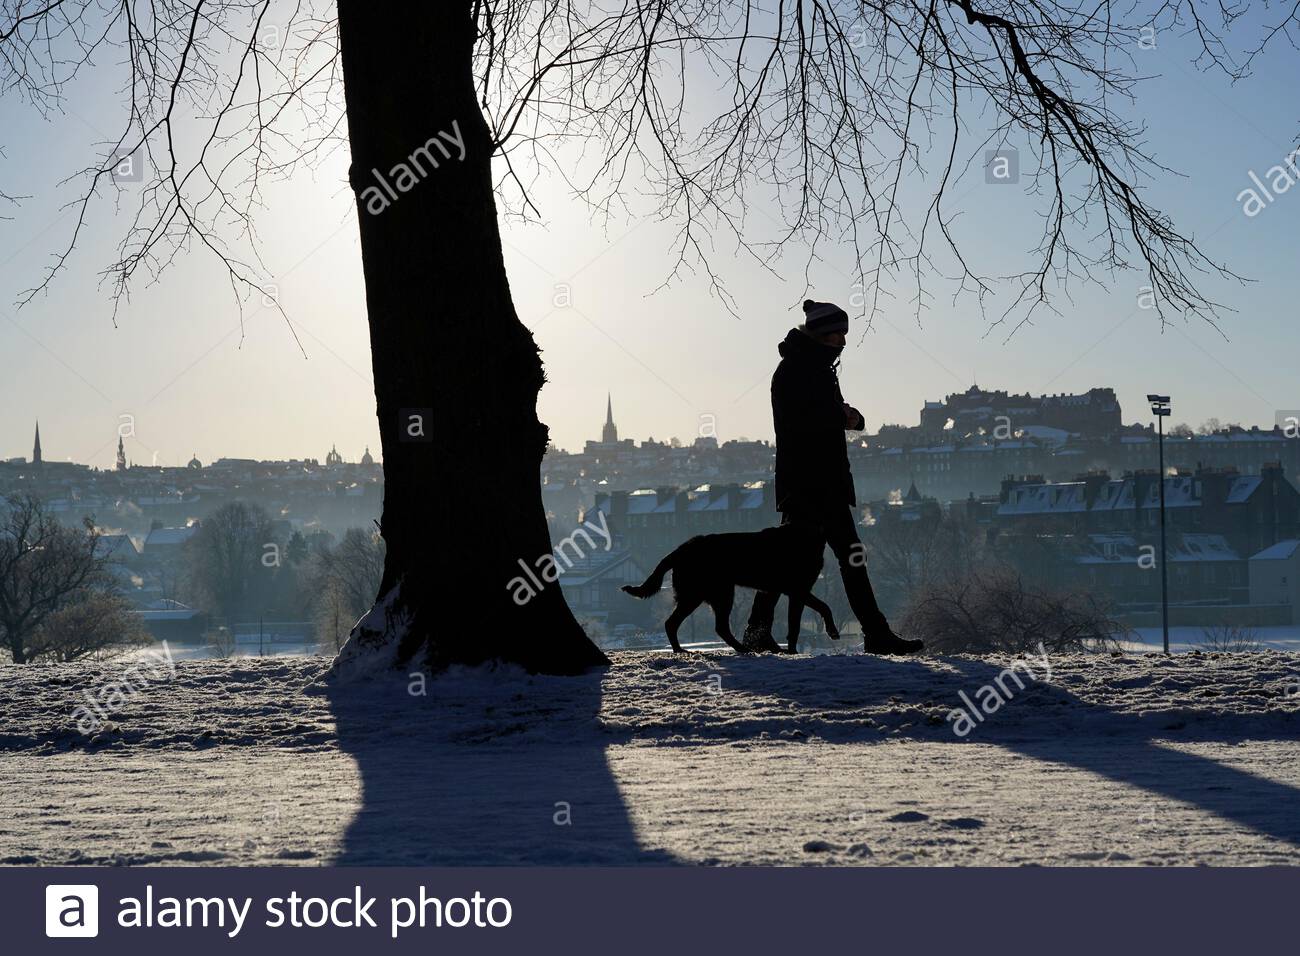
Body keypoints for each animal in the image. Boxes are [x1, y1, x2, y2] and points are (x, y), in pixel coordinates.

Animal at [621, 520, 842, 655]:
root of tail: (680, 549)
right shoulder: (799, 591)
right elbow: (823, 608)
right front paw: (831, 631)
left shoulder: (795, 593)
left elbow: (797, 624)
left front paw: (793, 651)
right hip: (712, 595)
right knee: (695, 625)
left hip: (708, 595)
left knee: (691, 625)